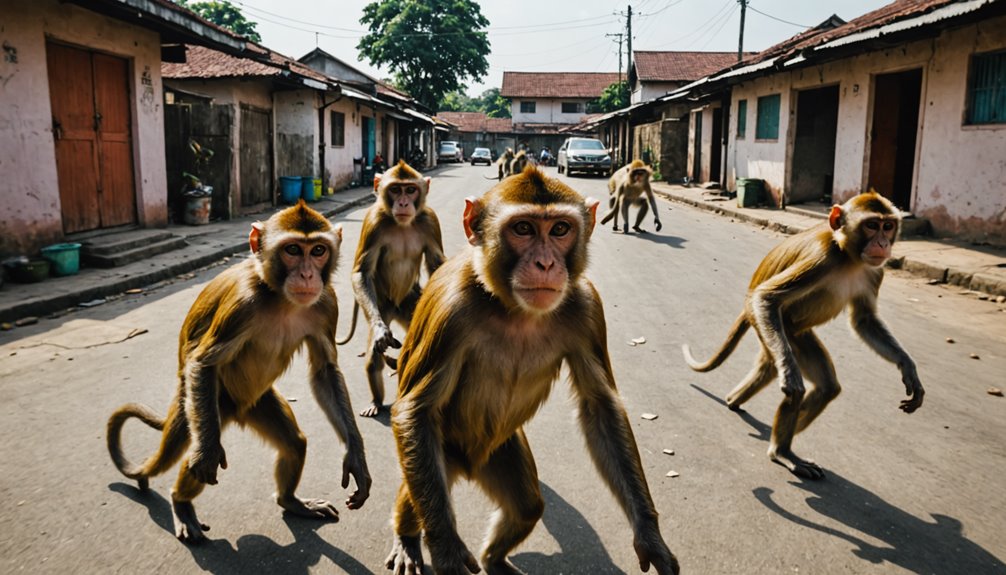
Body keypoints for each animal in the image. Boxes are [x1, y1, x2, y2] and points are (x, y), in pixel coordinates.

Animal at [107, 201, 374, 542]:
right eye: (292, 249)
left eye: (318, 250)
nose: (307, 275)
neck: (280, 297)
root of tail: (238, 411)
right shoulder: (242, 305)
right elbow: (204, 363)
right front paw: (203, 461)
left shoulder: (326, 302)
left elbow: (325, 371)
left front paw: (356, 457)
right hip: (206, 406)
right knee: (199, 450)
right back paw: (181, 501)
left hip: (259, 402)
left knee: (294, 443)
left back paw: (291, 501)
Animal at [338, 161, 444, 418]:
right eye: (396, 189)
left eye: (410, 190)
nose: (403, 203)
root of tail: (396, 307)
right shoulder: (374, 221)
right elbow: (362, 272)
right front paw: (379, 332)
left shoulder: (429, 221)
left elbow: (436, 263)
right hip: (382, 305)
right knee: (373, 361)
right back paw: (376, 401)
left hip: (411, 301)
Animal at [380, 164, 680, 575]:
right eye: (523, 229)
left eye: (560, 229)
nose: (546, 264)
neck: (515, 310)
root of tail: (468, 465)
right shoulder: (452, 313)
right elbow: (417, 411)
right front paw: (446, 552)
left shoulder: (587, 308)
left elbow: (599, 405)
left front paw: (650, 536)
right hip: (440, 454)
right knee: (417, 483)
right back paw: (407, 537)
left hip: (499, 449)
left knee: (526, 506)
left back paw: (495, 558)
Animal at [680, 190, 921, 478]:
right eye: (872, 225)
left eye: (888, 226)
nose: (883, 243)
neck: (848, 256)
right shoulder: (822, 260)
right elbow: (767, 298)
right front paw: (789, 373)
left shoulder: (876, 270)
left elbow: (864, 321)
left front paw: (907, 365)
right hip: (773, 327)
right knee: (793, 378)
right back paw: (781, 451)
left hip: (793, 334)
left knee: (825, 387)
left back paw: (737, 402)